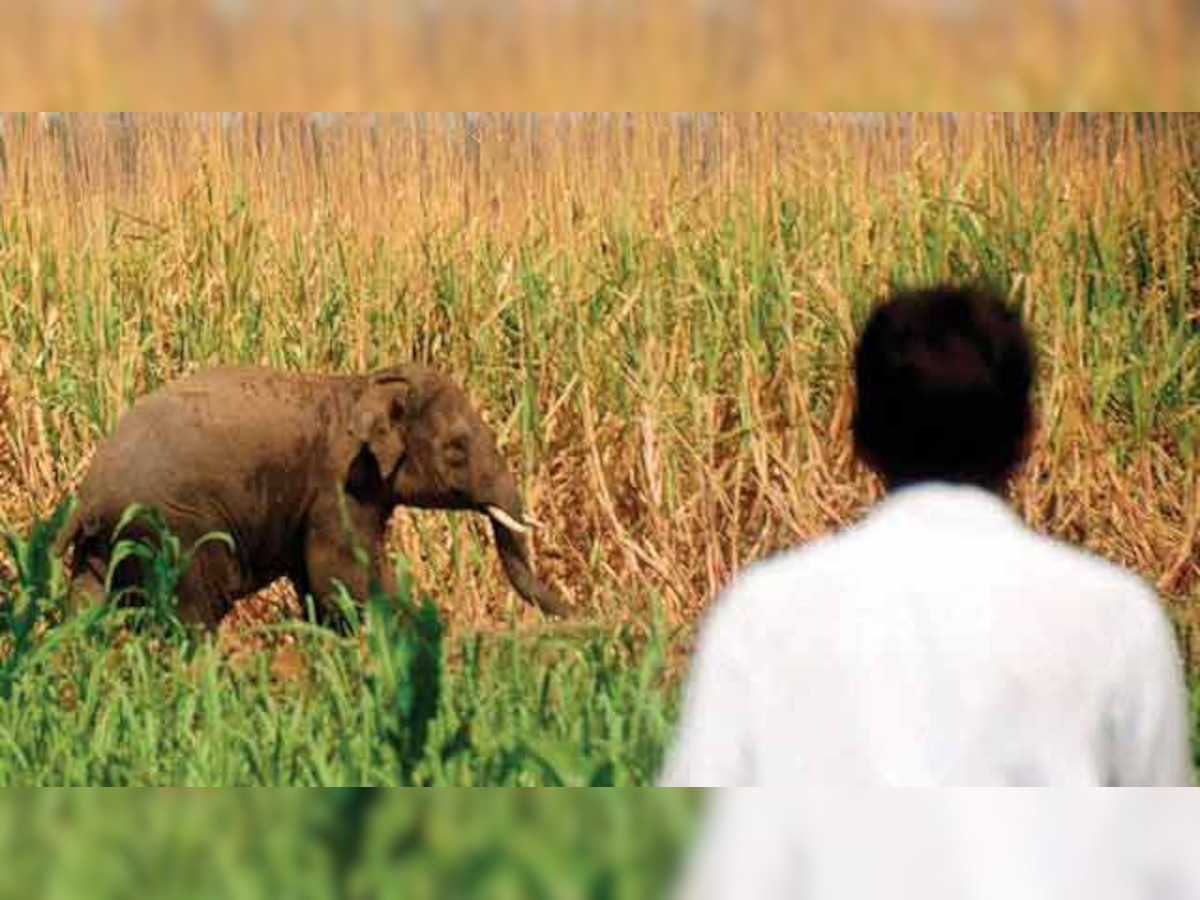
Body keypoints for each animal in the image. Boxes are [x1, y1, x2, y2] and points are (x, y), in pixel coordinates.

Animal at [58, 362, 573, 628]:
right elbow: (342, 576)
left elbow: (320, 581)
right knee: (194, 611)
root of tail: (88, 495)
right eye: (457, 449)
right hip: (170, 528)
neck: (363, 383)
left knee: (86, 603)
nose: (579, 616)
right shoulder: (337, 484)